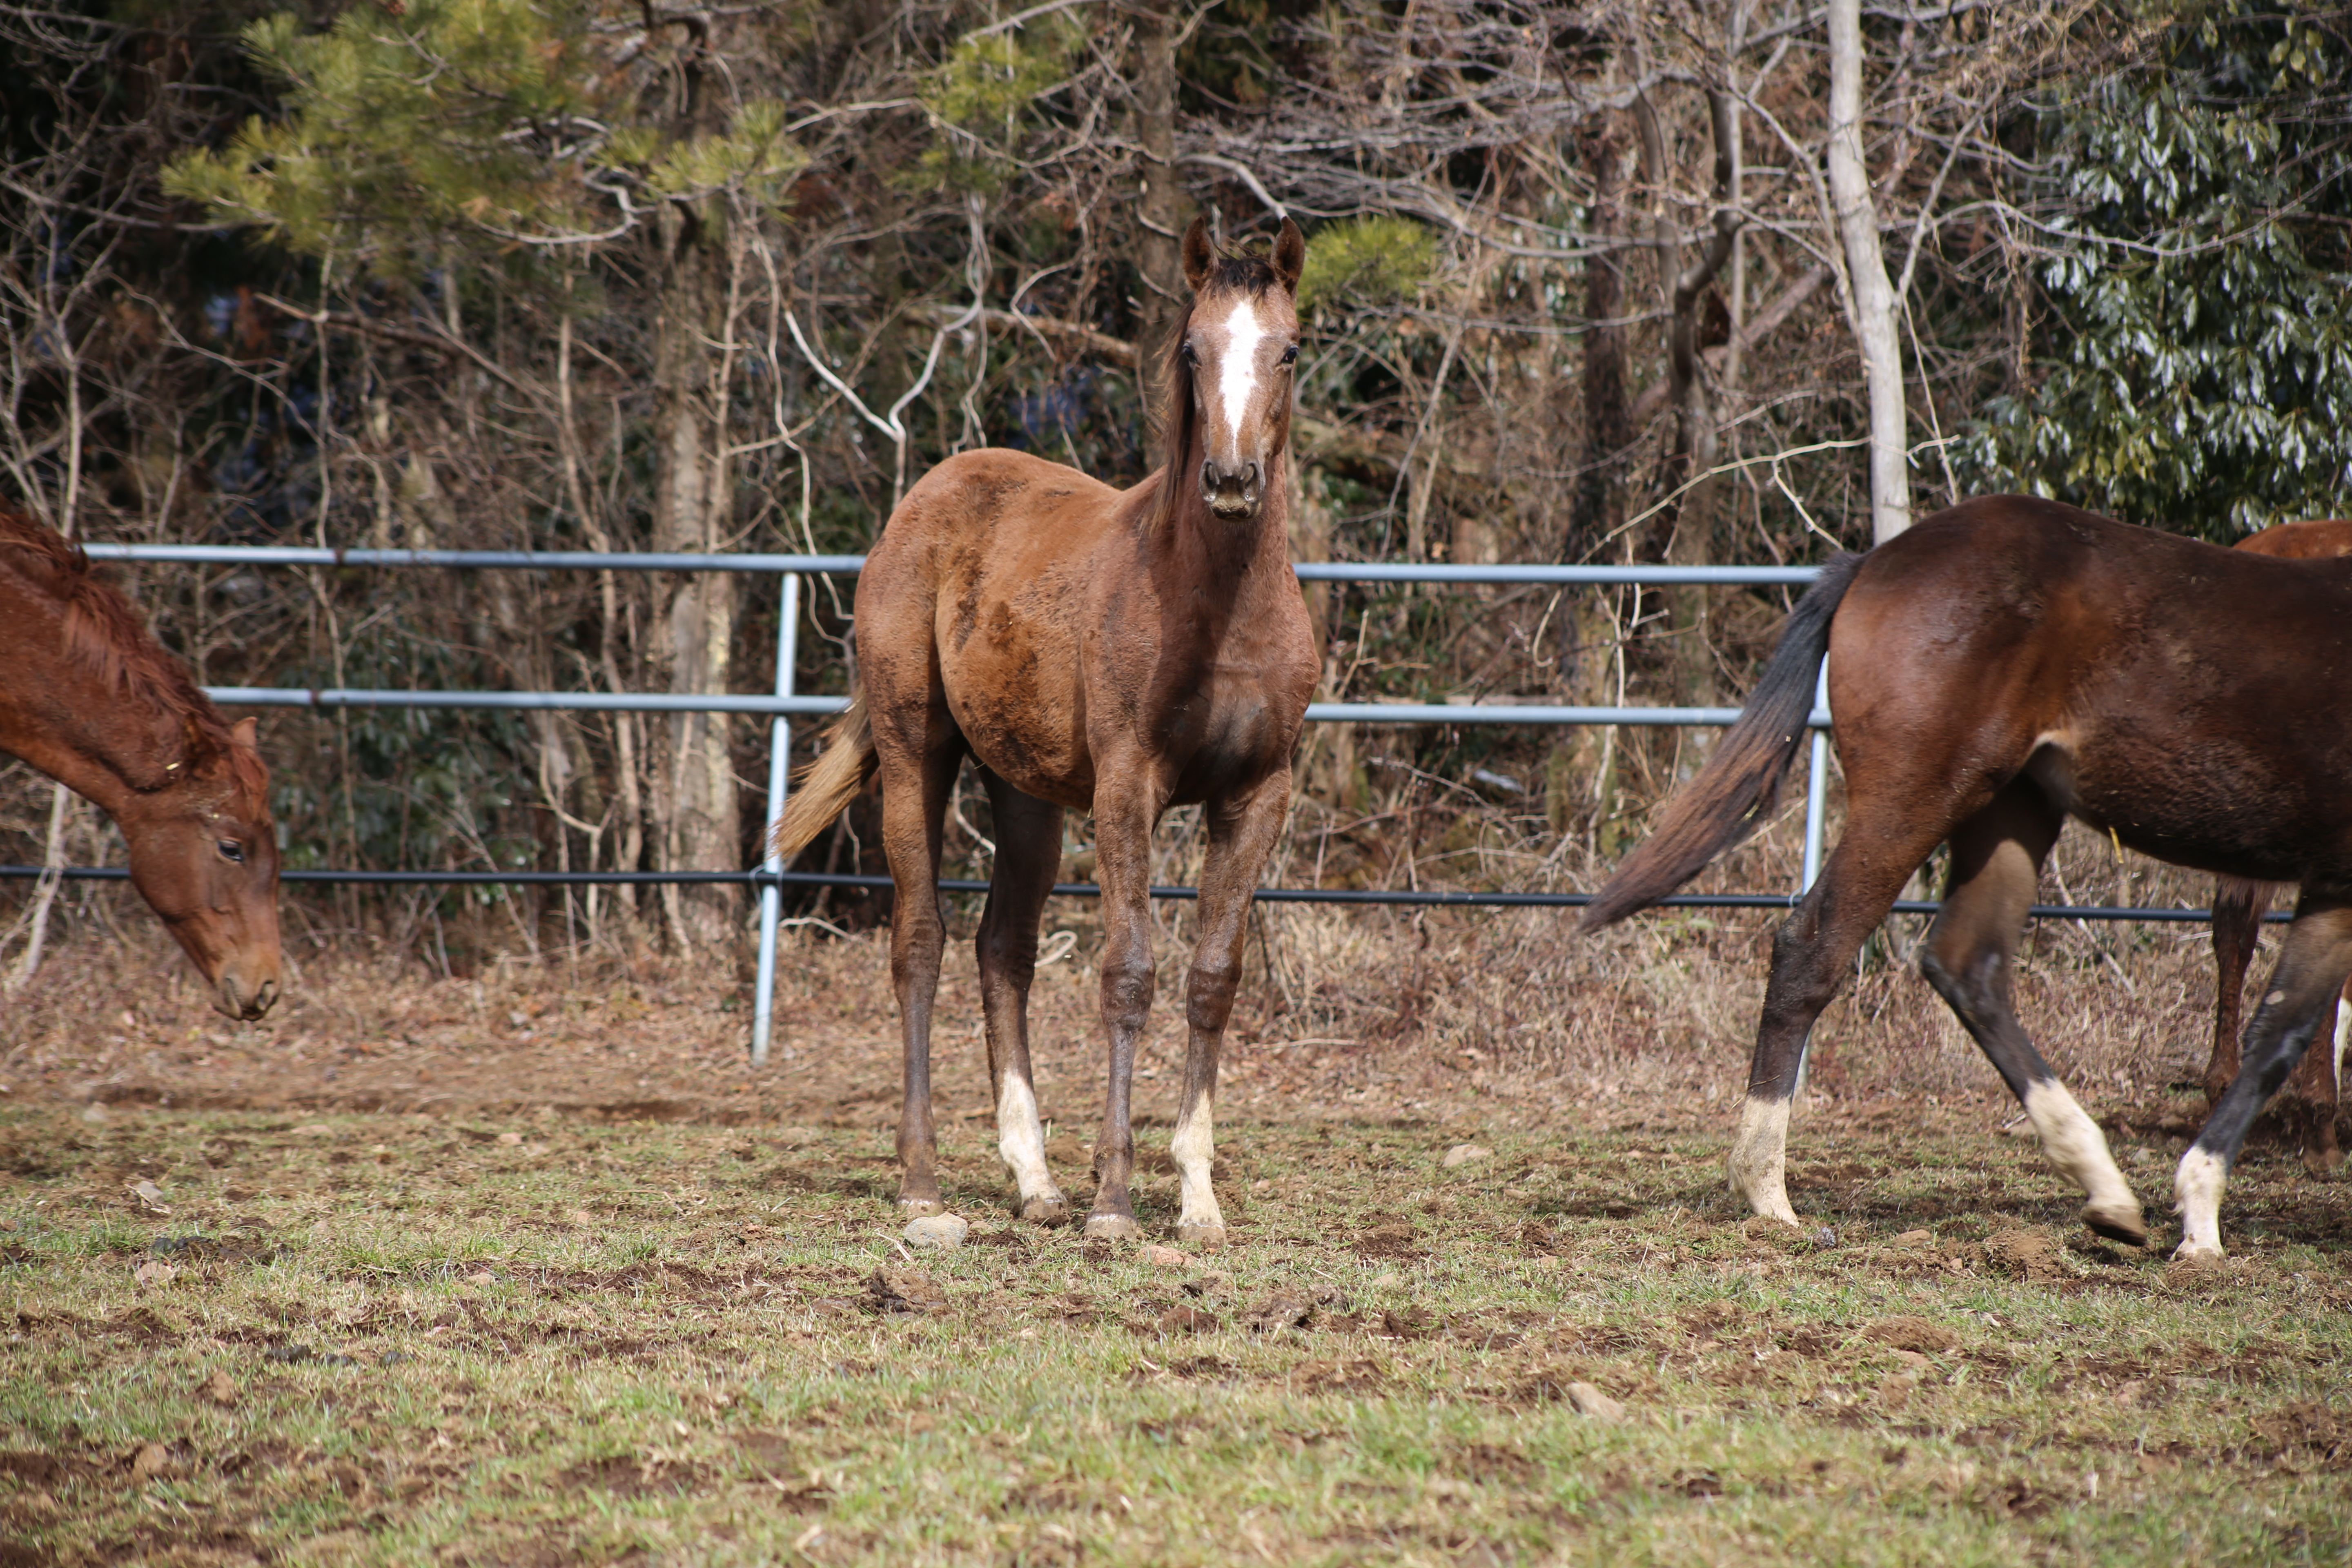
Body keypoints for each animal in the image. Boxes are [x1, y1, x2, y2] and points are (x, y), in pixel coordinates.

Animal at [771, 221, 1326, 1241]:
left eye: (1291, 350)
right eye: (1193, 351)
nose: (1231, 480)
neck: (1220, 605)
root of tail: (925, 497)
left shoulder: (1256, 794)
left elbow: (1213, 978)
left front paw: (1197, 1200)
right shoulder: (1127, 787)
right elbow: (1129, 973)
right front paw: (1114, 1202)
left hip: (1024, 792)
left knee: (1004, 951)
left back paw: (1033, 1180)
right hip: (916, 756)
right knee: (921, 942)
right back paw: (924, 1184)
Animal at [1580, 501, 2352, 1260]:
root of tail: (1873, 563)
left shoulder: (2331, 886)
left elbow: (2283, 1030)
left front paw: (2200, 1209)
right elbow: (2281, 1031)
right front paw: (2202, 1219)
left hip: (2007, 813)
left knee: (1966, 966)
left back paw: (2104, 1189)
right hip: (1918, 801)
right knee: (1814, 950)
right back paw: (1768, 1195)